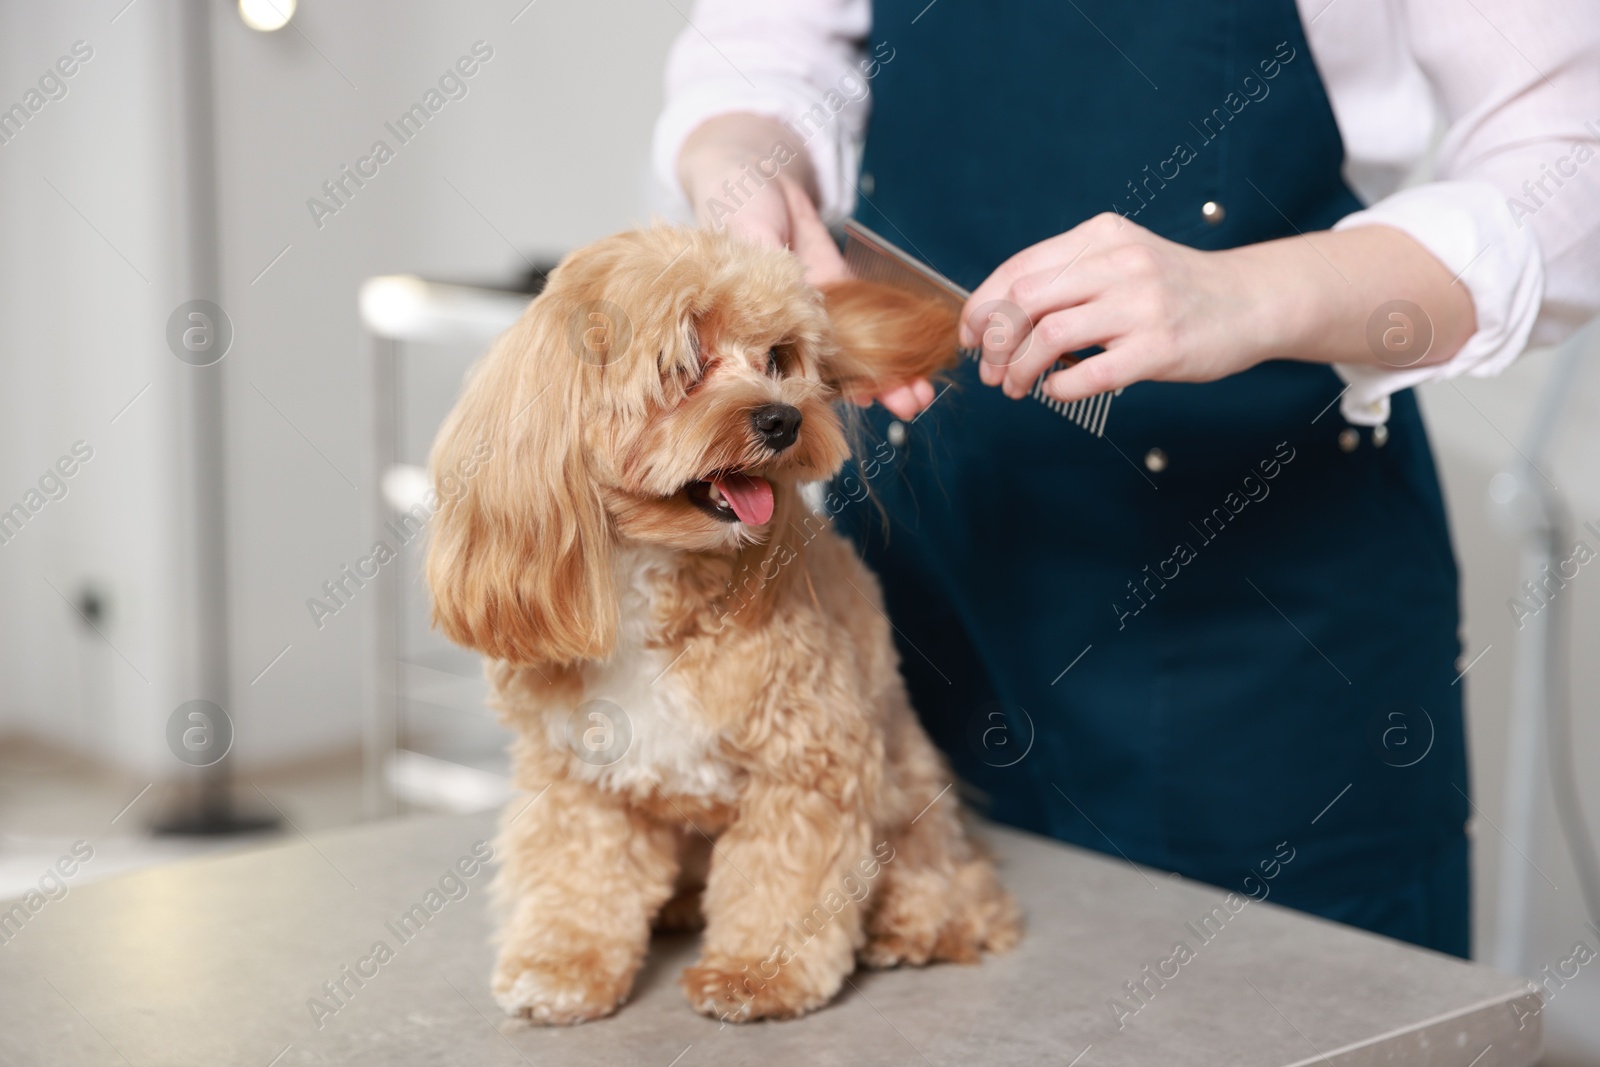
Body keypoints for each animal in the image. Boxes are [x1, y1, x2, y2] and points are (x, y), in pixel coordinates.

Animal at [428, 227, 1011, 1023]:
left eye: (779, 359)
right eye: (684, 362)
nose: (783, 419)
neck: (656, 577)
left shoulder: (808, 760)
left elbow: (782, 880)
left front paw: (755, 975)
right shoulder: (579, 779)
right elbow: (578, 876)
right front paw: (564, 966)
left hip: (909, 785)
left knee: (955, 881)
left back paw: (914, 922)